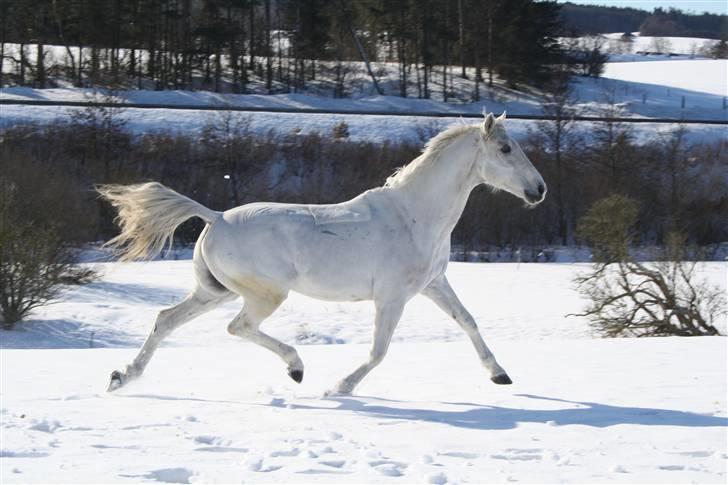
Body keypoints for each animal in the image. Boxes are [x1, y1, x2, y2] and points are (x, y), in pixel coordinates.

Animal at [99, 111, 544, 396]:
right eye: (505, 149)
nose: (538, 190)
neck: (416, 215)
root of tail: (217, 217)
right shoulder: (392, 297)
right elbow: (379, 350)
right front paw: (339, 388)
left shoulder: (434, 283)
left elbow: (468, 321)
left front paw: (500, 375)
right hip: (264, 295)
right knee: (238, 327)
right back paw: (296, 368)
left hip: (214, 290)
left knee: (166, 320)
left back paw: (122, 377)